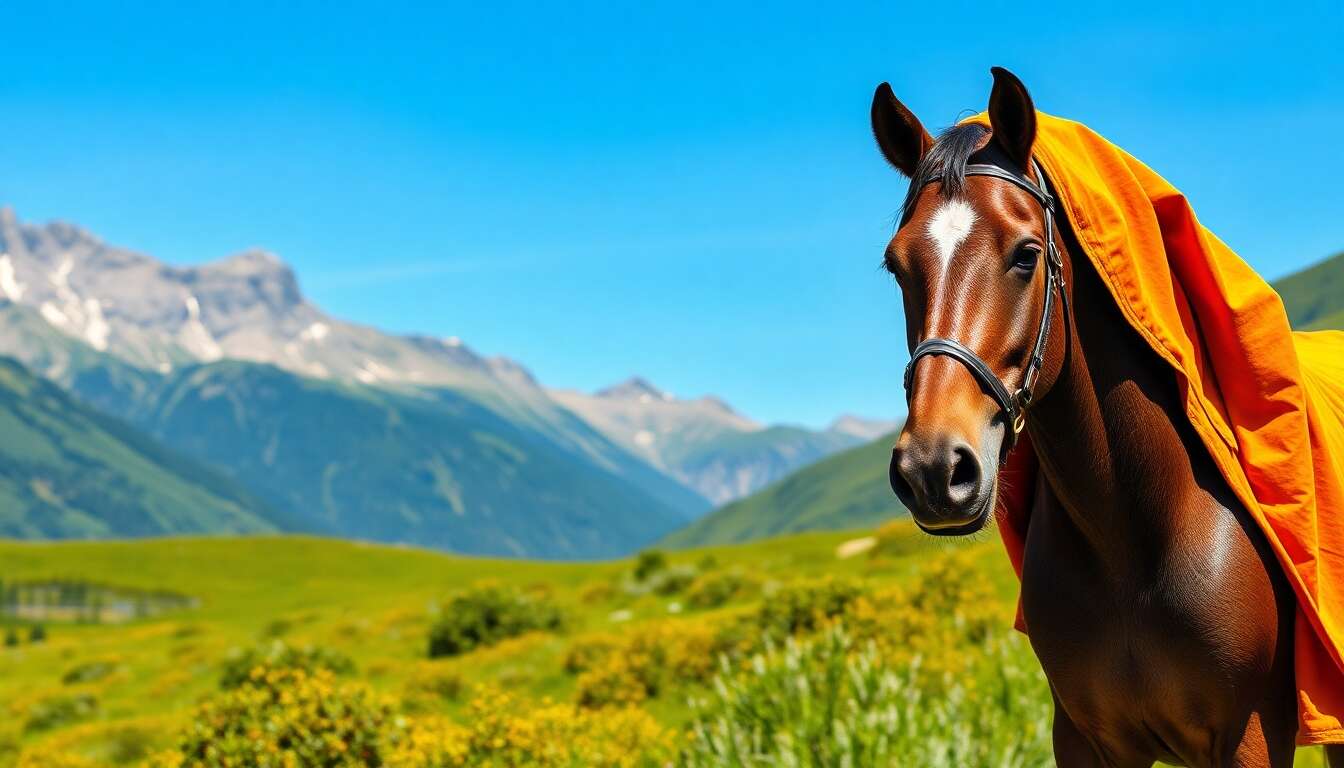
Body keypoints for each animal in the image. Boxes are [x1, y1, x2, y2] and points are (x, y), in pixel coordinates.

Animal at [870, 67, 1344, 768]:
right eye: (898, 265)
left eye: (1026, 253)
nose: (933, 469)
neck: (1137, 533)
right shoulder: (1086, 739)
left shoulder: (1252, 736)